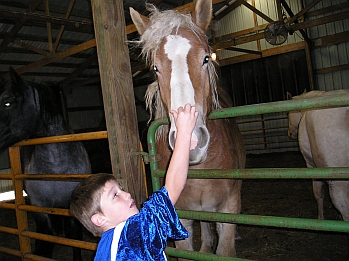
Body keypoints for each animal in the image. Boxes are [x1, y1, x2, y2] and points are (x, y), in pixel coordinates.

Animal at [0, 67, 91, 260]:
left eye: (7, 102)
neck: (56, 169)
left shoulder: (72, 205)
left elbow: (74, 236)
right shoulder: (39, 206)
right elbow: (45, 240)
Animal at [129, 0, 246, 256]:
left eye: (206, 58)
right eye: (155, 68)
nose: (190, 141)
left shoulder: (229, 207)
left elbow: (225, 250)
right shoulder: (181, 216)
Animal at [286, 89, 348, 223]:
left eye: (288, 113)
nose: (290, 133)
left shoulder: (311, 166)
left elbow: (318, 193)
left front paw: (320, 218)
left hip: (339, 183)